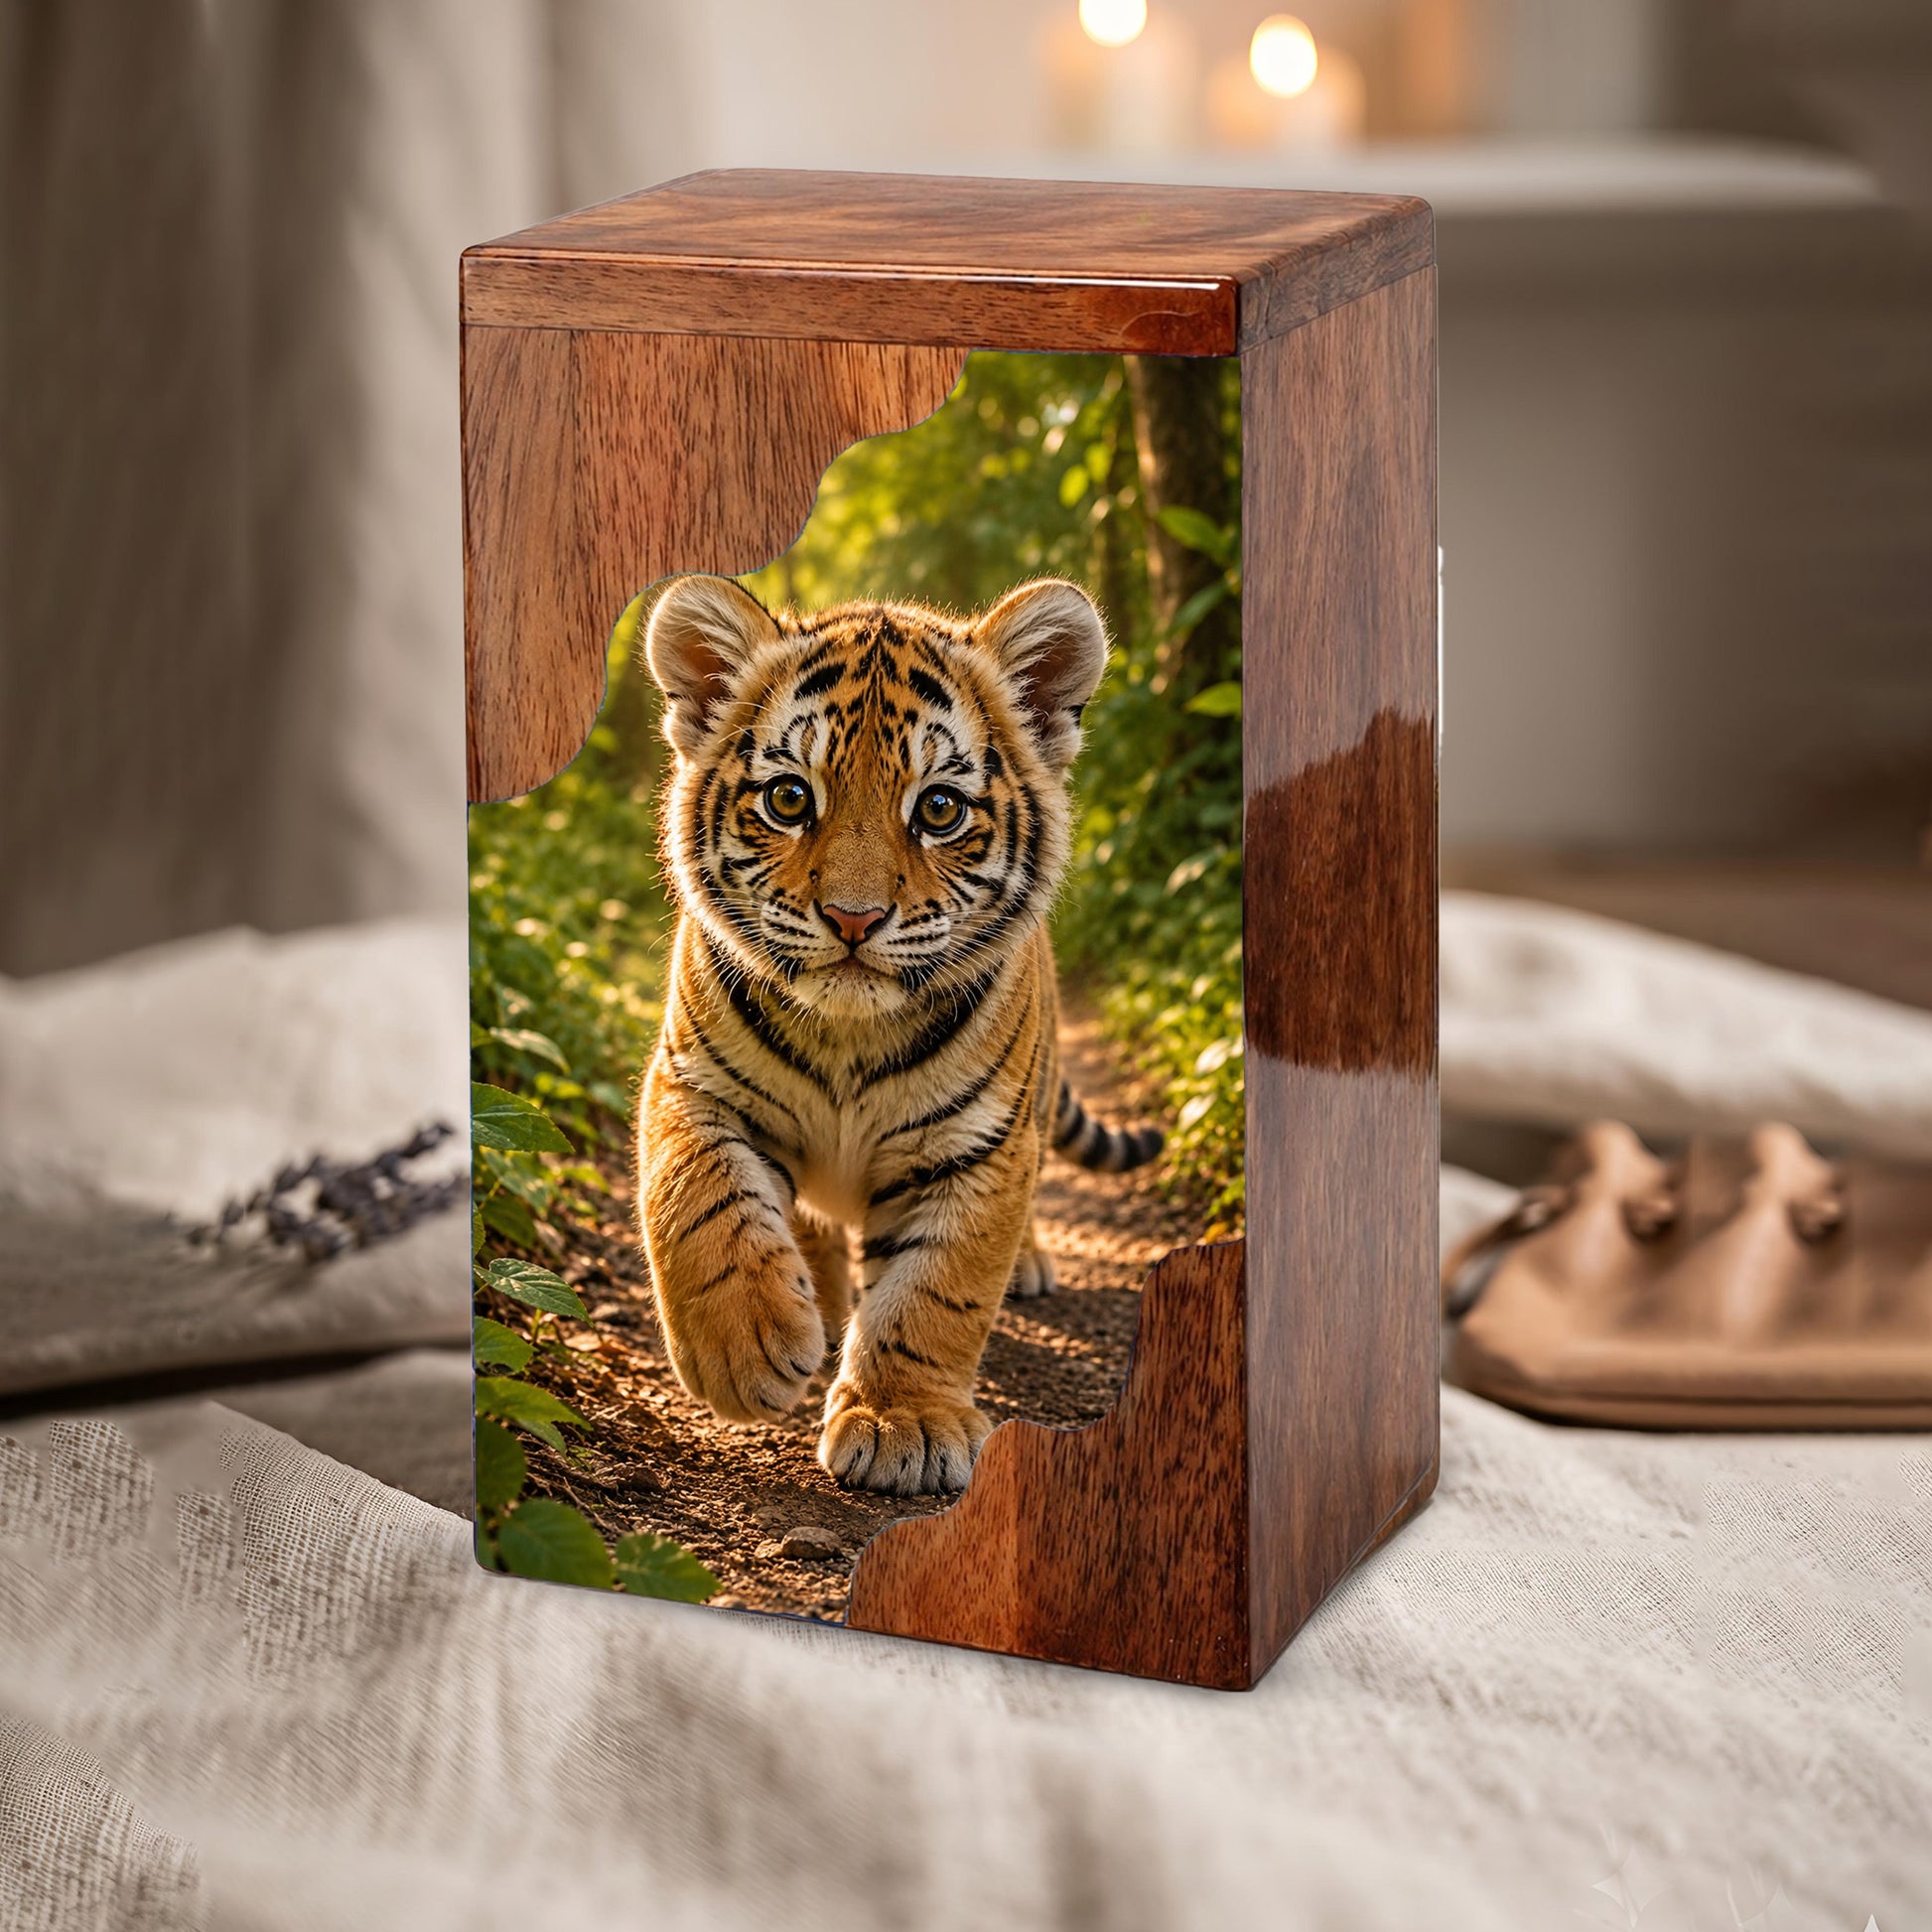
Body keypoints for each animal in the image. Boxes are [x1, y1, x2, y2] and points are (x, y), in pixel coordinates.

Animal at [636, 573, 1164, 1497]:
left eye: (940, 810)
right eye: (789, 799)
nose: (854, 918)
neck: (848, 1036)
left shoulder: (977, 1146)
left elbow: (936, 1289)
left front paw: (900, 1423)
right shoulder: (691, 1084)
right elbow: (696, 1198)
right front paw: (746, 1350)